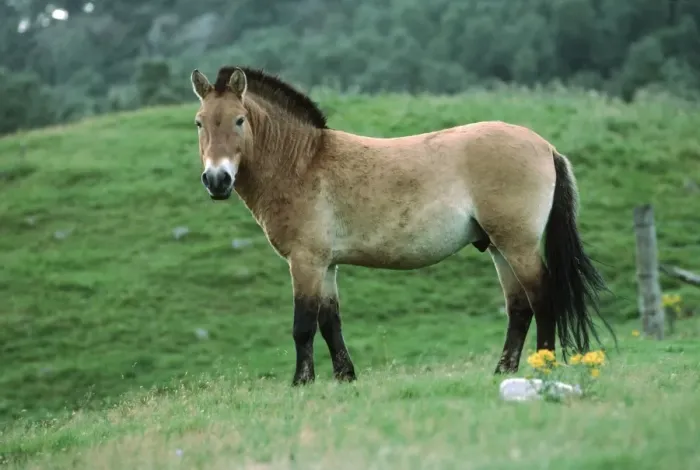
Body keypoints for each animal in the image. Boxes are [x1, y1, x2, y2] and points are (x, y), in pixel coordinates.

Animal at [188, 65, 616, 386]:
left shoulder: (306, 262)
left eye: (239, 120)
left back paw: (543, 365)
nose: (216, 180)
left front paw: (301, 382)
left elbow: (303, 325)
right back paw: (502, 370)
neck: (303, 162)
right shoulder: (327, 265)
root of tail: (545, 146)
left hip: (518, 245)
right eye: (199, 123)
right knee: (519, 307)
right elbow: (330, 322)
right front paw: (345, 376)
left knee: (542, 299)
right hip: (498, 247)